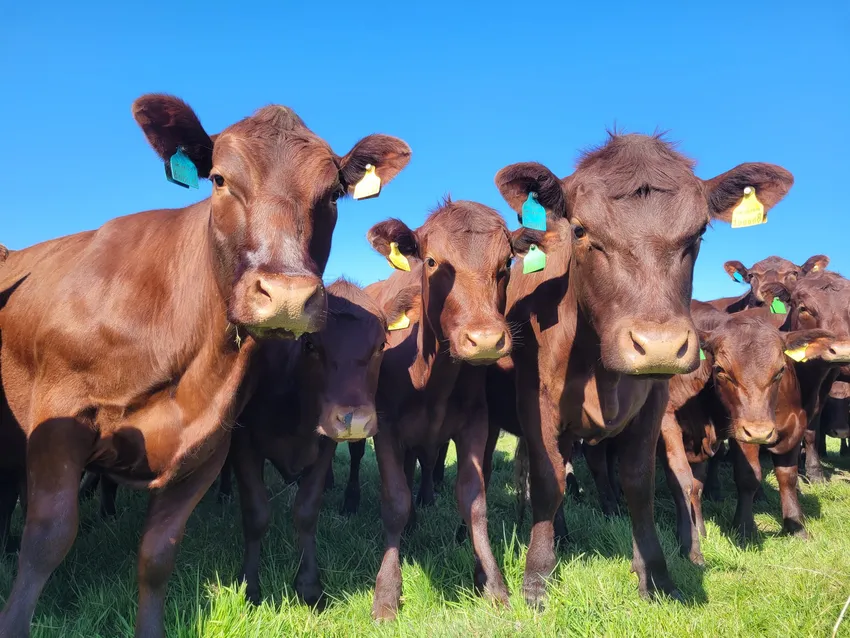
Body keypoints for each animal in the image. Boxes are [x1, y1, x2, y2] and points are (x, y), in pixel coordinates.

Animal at [231, 279, 417, 607]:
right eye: (310, 345)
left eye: (381, 345)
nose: (354, 419)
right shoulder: (243, 441)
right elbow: (256, 514)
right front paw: (250, 586)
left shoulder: (323, 448)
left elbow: (306, 511)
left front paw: (308, 585)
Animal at [362, 198, 542, 620]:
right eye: (431, 261)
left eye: (506, 264)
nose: (486, 340)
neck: (432, 377)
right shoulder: (386, 428)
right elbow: (394, 501)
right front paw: (386, 592)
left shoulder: (475, 423)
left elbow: (474, 500)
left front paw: (493, 584)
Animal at [495, 133, 793, 606]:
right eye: (580, 230)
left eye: (699, 232)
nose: (660, 346)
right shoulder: (535, 400)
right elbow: (547, 479)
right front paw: (538, 576)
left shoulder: (654, 403)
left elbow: (639, 482)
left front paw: (655, 574)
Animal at [660, 303, 850, 564]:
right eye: (721, 370)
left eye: (780, 370)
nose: (759, 431)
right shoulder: (672, 426)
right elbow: (695, 480)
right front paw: (740, 531)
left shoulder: (792, 430)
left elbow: (787, 477)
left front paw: (796, 527)